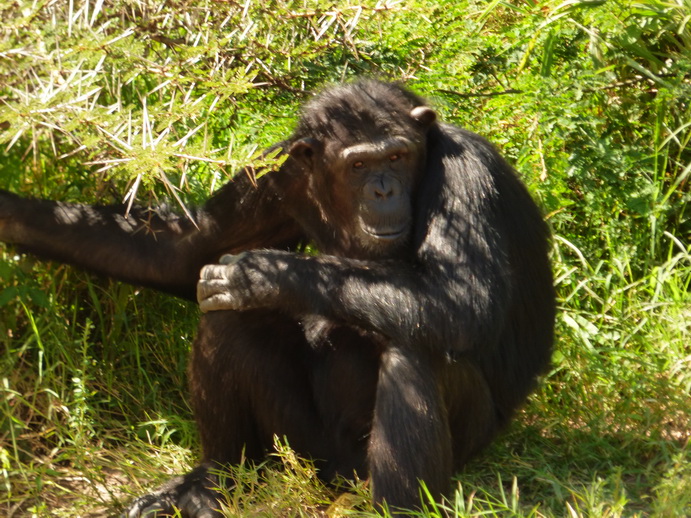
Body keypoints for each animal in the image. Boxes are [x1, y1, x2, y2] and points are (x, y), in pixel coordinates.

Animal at [0, 79, 556, 516]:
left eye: (397, 156)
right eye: (359, 165)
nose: (383, 189)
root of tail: (334, 480)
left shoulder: (464, 173)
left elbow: (462, 297)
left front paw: (259, 274)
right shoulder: (279, 172)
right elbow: (182, 249)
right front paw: (11, 214)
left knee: (415, 349)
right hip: (301, 452)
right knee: (227, 319)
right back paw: (211, 482)